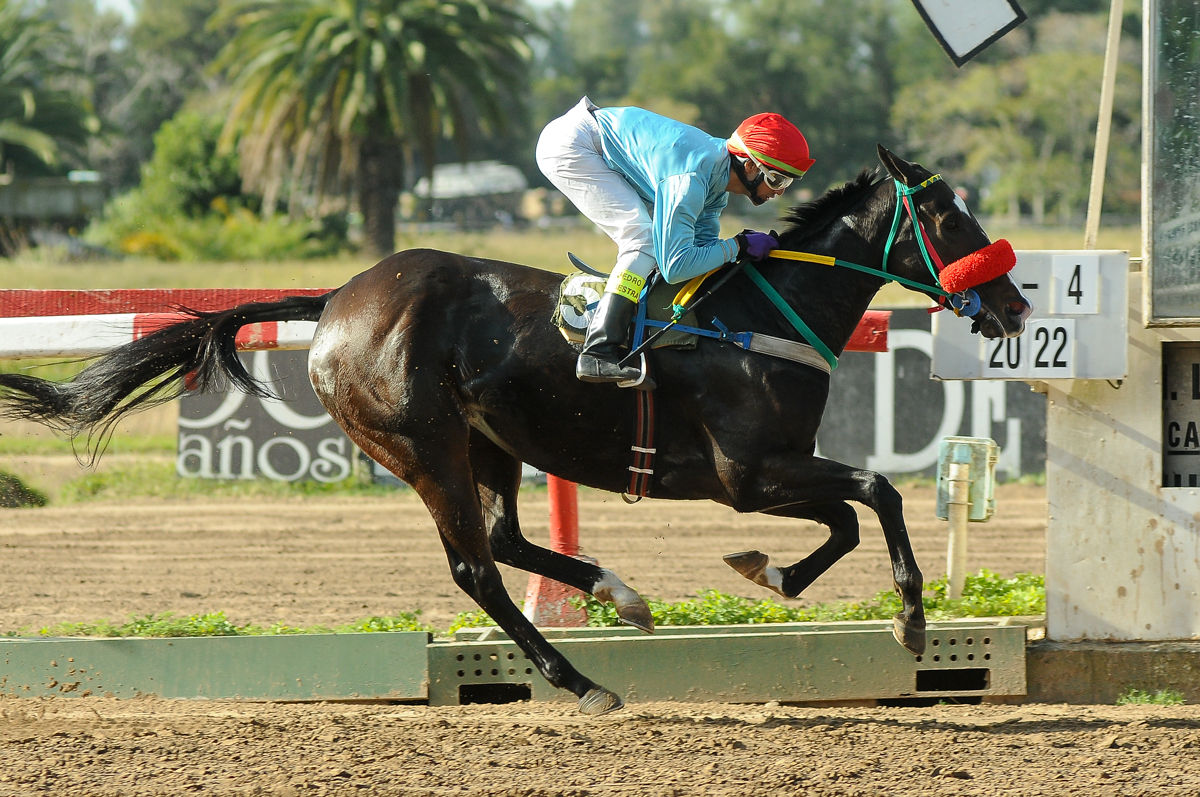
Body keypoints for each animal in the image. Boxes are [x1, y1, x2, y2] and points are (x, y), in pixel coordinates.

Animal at [0, 146, 1031, 715]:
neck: (757, 312)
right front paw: (908, 619)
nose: (1017, 305)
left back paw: (620, 593)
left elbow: (851, 515)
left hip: (488, 441)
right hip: (423, 448)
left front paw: (769, 573)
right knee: (475, 566)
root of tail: (335, 299)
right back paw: (582, 679)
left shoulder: (770, 470)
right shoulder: (747, 472)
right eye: (950, 218)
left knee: (502, 538)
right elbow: (876, 493)